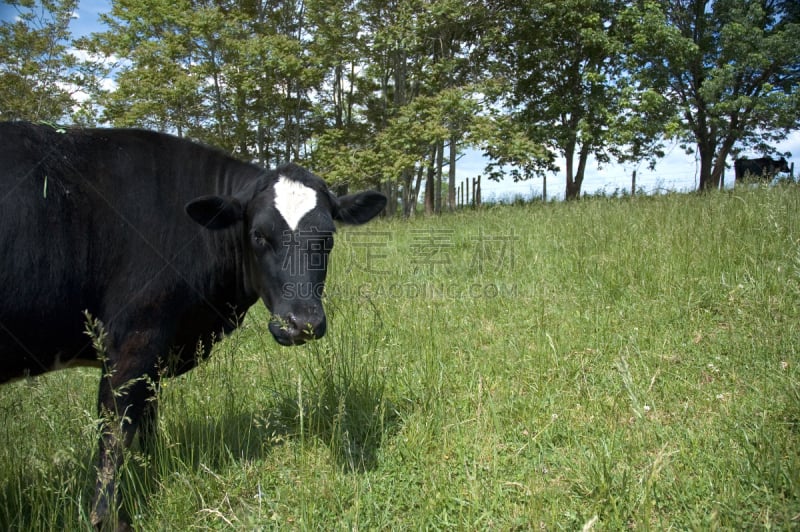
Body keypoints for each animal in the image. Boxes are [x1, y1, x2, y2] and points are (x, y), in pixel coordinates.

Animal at [0, 122, 388, 528]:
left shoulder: (154, 352)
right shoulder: (134, 340)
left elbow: (147, 422)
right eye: (258, 235)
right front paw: (109, 519)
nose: (303, 323)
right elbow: (115, 432)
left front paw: (152, 476)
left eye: (328, 238)